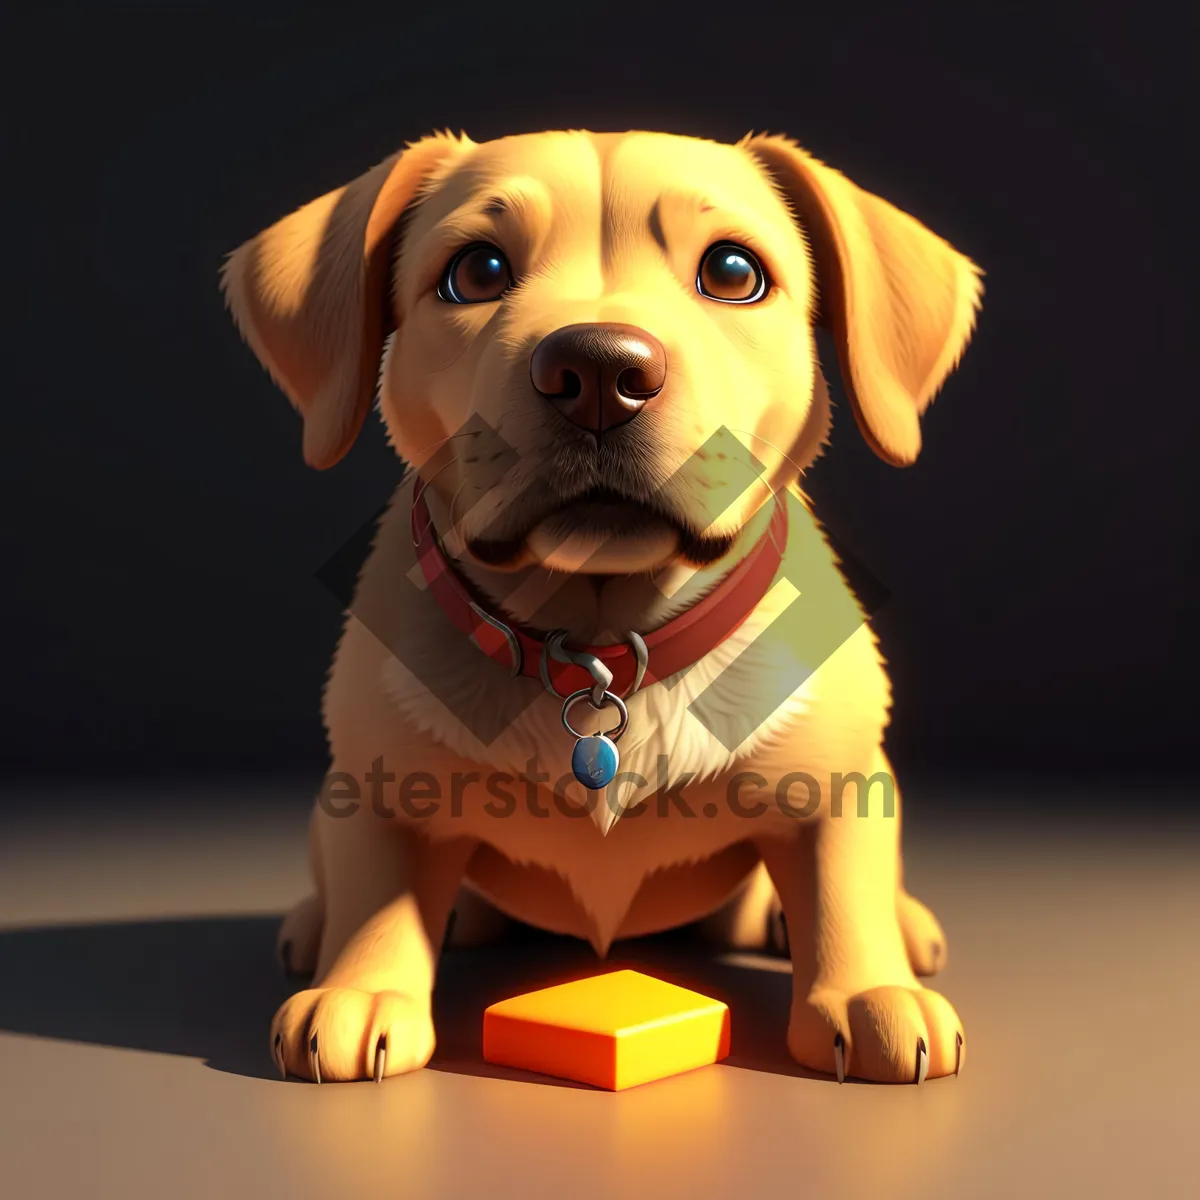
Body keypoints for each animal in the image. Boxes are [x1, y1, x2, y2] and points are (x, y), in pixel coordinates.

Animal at [225, 129, 984, 1089]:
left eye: (733, 271)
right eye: (476, 272)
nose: (596, 369)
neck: (601, 642)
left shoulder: (843, 780)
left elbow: (842, 883)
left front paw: (866, 994)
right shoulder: (374, 785)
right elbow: (376, 892)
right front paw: (360, 987)